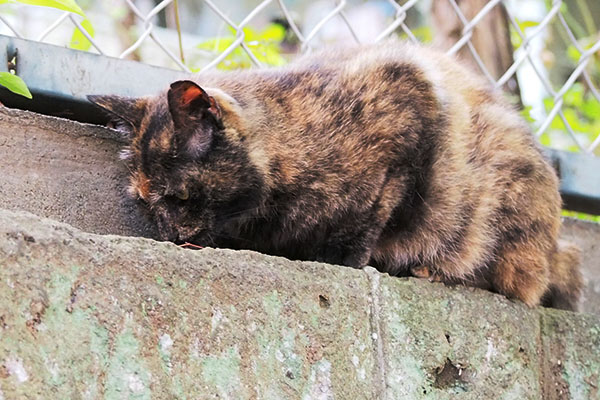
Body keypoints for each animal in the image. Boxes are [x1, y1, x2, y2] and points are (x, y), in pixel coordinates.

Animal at [91, 39, 584, 310]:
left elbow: (369, 216)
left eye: (177, 197)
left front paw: (340, 262)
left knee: (521, 283)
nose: (169, 235)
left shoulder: (408, 107)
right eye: (145, 202)